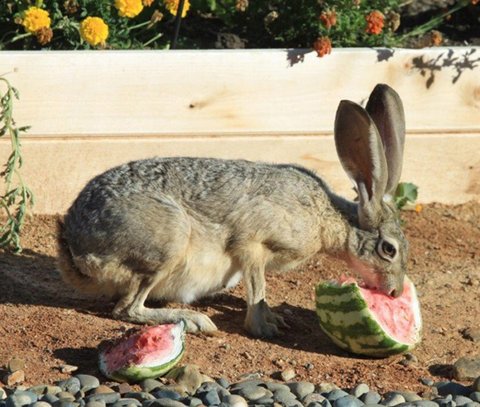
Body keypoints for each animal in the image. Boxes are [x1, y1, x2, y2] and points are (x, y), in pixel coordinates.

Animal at [57, 83, 407, 338]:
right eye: (388, 249)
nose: (395, 291)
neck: (329, 218)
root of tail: (76, 248)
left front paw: (276, 319)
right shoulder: (253, 243)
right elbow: (257, 286)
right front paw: (264, 327)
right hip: (166, 242)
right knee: (127, 309)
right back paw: (194, 320)